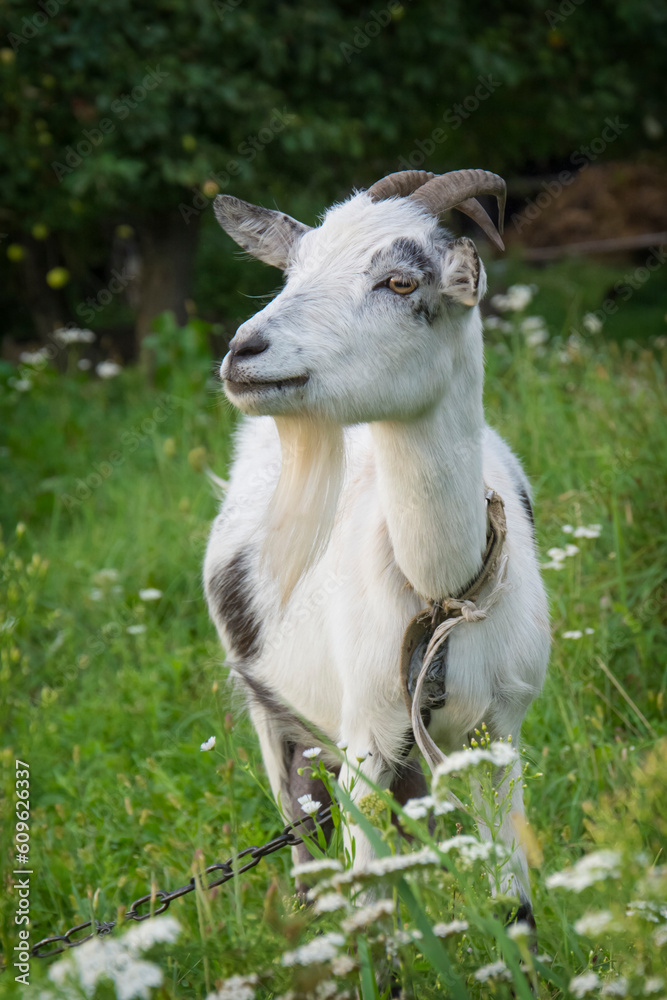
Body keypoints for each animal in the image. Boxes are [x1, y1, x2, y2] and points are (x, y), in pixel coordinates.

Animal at [203, 169, 550, 923]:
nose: (245, 352)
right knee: (304, 841)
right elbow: (373, 912)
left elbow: (513, 906)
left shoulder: (498, 732)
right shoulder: (365, 735)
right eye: (293, 270)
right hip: (276, 717)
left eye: (399, 281)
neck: (441, 594)